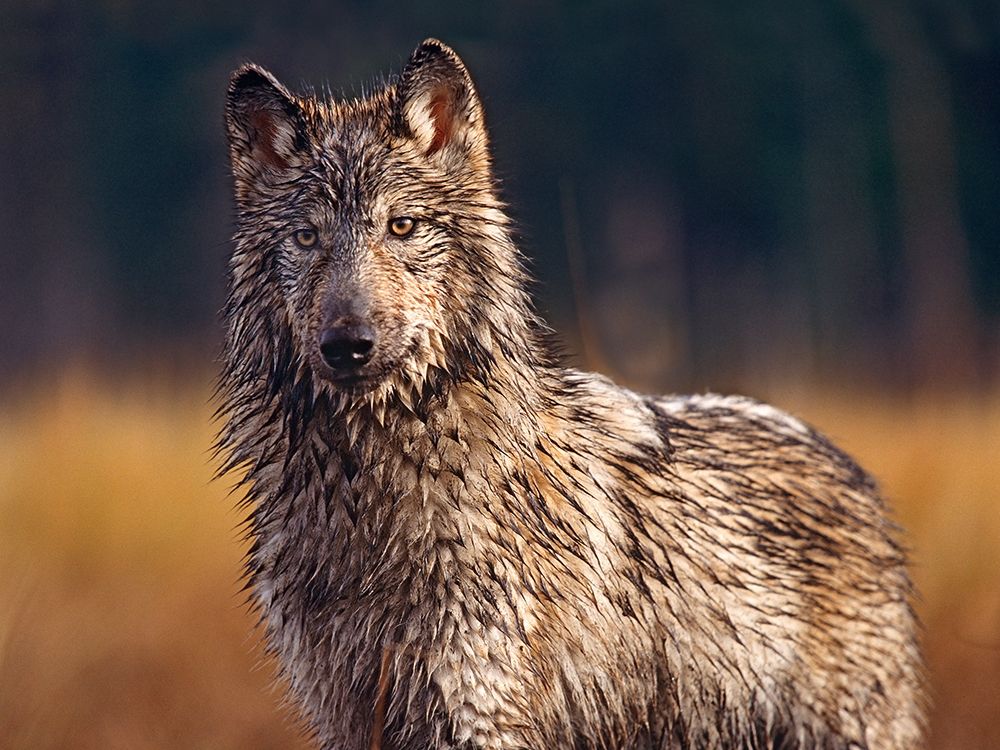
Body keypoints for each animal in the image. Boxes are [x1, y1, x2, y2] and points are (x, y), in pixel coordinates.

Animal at [219, 39, 925, 750]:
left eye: (402, 225)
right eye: (308, 238)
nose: (348, 344)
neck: (369, 486)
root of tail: (851, 468)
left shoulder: (475, 713)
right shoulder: (345, 716)